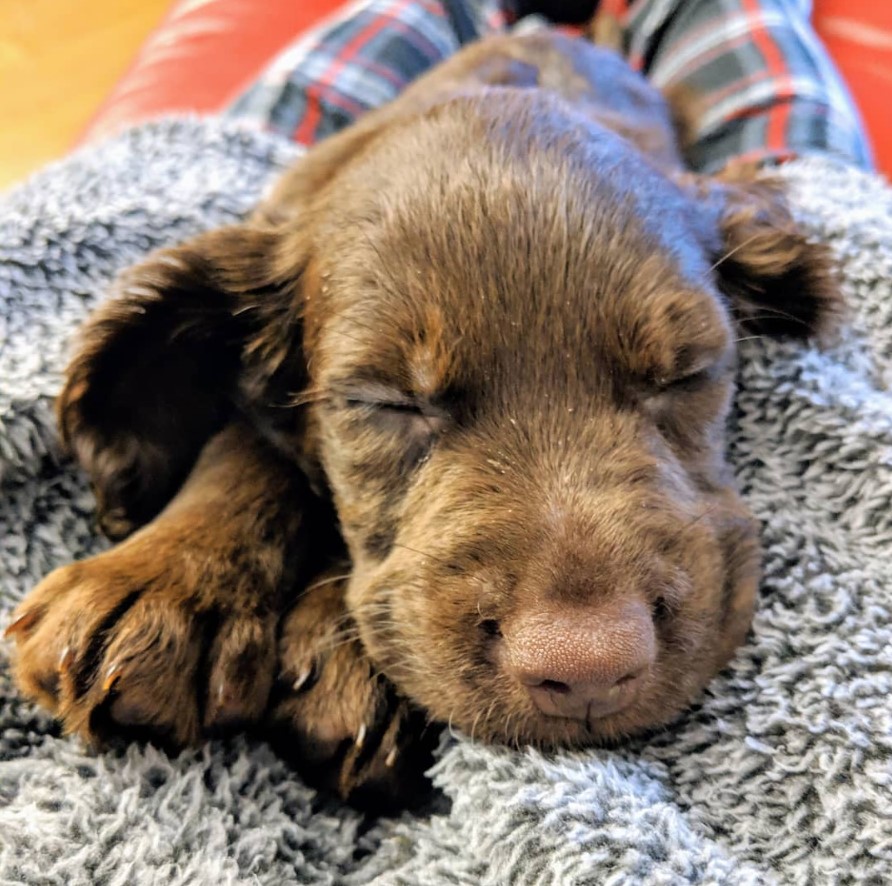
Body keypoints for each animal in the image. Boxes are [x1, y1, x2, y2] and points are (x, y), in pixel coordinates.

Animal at [5, 33, 836, 812]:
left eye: (687, 374)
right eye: (385, 402)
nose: (588, 671)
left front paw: (348, 667)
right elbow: (249, 436)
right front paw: (165, 582)